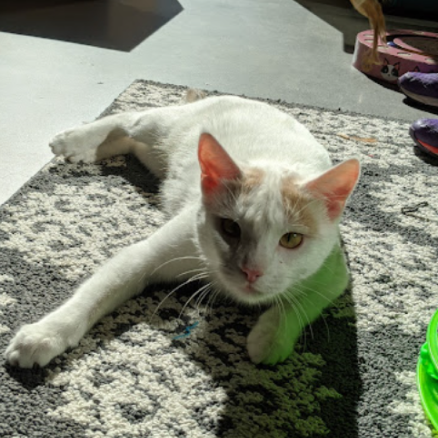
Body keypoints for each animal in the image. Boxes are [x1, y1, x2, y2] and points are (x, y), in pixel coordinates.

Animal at [3, 93, 360, 370]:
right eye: (230, 227)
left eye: (292, 239)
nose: (252, 271)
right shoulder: (147, 253)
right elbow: (94, 293)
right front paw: (44, 335)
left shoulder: (334, 273)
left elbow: (305, 304)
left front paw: (270, 338)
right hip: (158, 126)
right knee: (128, 117)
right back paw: (71, 140)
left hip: (154, 156)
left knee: (129, 142)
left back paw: (89, 151)